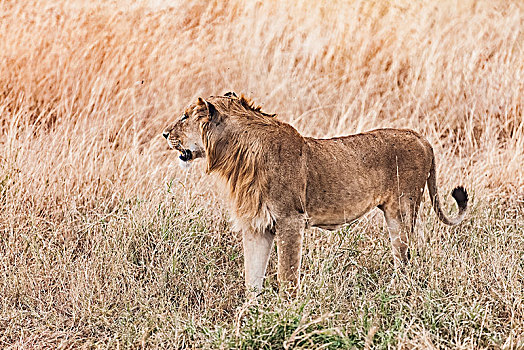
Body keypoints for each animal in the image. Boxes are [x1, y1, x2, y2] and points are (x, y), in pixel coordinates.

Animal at [162, 92, 468, 296]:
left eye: (185, 116)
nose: (164, 134)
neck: (235, 156)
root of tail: (421, 137)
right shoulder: (256, 225)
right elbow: (252, 277)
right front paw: (250, 315)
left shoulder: (290, 219)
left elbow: (286, 275)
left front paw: (286, 314)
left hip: (401, 211)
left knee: (403, 259)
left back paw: (394, 293)